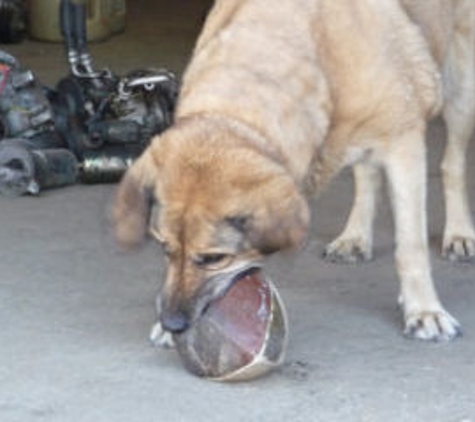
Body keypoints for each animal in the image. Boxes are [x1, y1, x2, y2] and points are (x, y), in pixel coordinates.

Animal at [114, 0, 475, 342]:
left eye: (215, 258)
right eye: (165, 249)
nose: (171, 324)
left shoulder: (404, 142)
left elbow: (411, 245)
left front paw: (424, 311)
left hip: (461, 85)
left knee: (452, 163)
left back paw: (459, 234)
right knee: (367, 174)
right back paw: (355, 236)